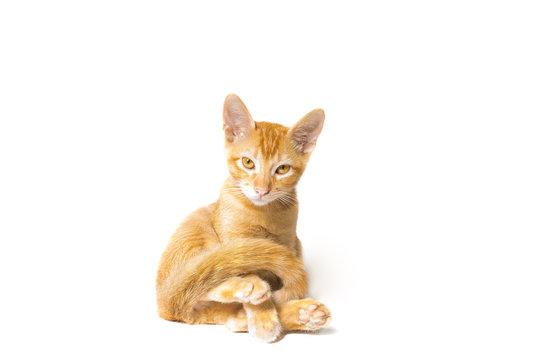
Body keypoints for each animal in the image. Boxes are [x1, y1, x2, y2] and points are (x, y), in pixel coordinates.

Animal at [156, 94, 332, 342]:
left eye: (283, 169)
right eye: (248, 163)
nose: (261, 190)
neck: (263, 213)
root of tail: (164, 304)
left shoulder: (289, 244)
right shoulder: (236, 241)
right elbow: (243, 265)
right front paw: (263, 317)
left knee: (227, 315)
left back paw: (305, 314)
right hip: (197, 230)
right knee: (200, 280)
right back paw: (251, 288)